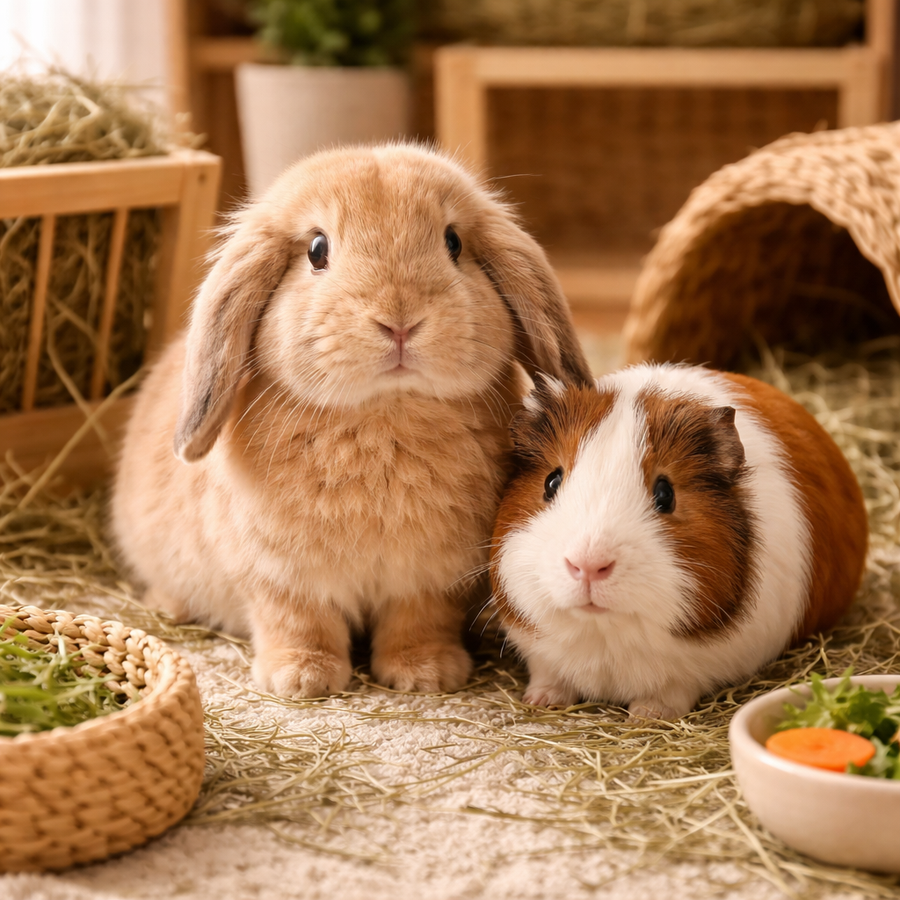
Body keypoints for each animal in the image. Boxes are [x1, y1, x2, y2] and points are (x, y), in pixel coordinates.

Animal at [111, 143, 592, 699]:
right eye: (317, 250)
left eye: (453, 242)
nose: (400, 321)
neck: (385, 415)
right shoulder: (280, 578)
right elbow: (299, 622)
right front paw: (301, 678)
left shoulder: (431, 580)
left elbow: (419, 621)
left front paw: (425, 674)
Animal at [490, 363, 868, 719]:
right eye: (551, 482)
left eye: (665, 493)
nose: (588, 565)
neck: (603, 633)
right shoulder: (541, 655)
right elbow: (548, 676)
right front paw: (540, 701)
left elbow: (671, 692)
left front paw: (647, 716)